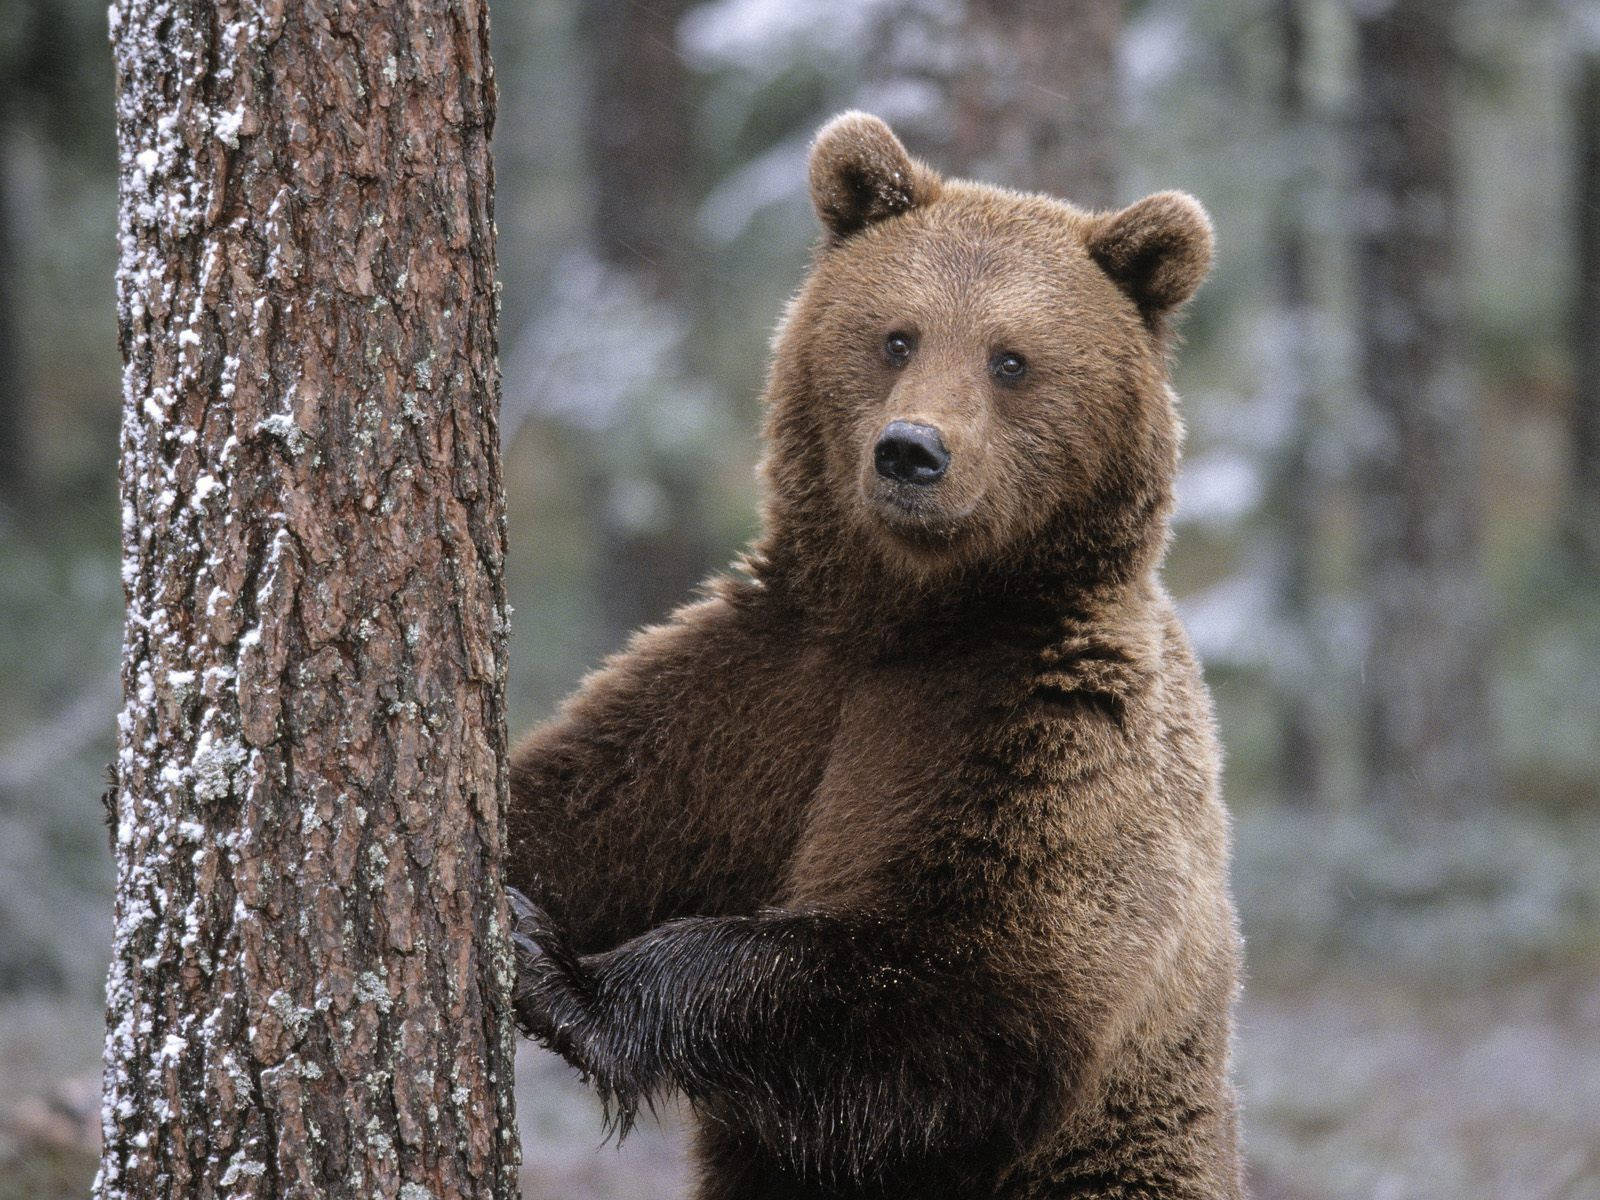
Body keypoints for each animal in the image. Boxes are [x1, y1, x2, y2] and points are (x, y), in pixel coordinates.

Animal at [505, 115, 1241, 1200]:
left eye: (1011, 359)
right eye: (897, 336)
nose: (911, 452)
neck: (913, 616)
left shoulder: (1044, 735)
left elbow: (956, 991)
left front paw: (563, 975)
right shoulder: (760, 693)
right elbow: (584, 808)